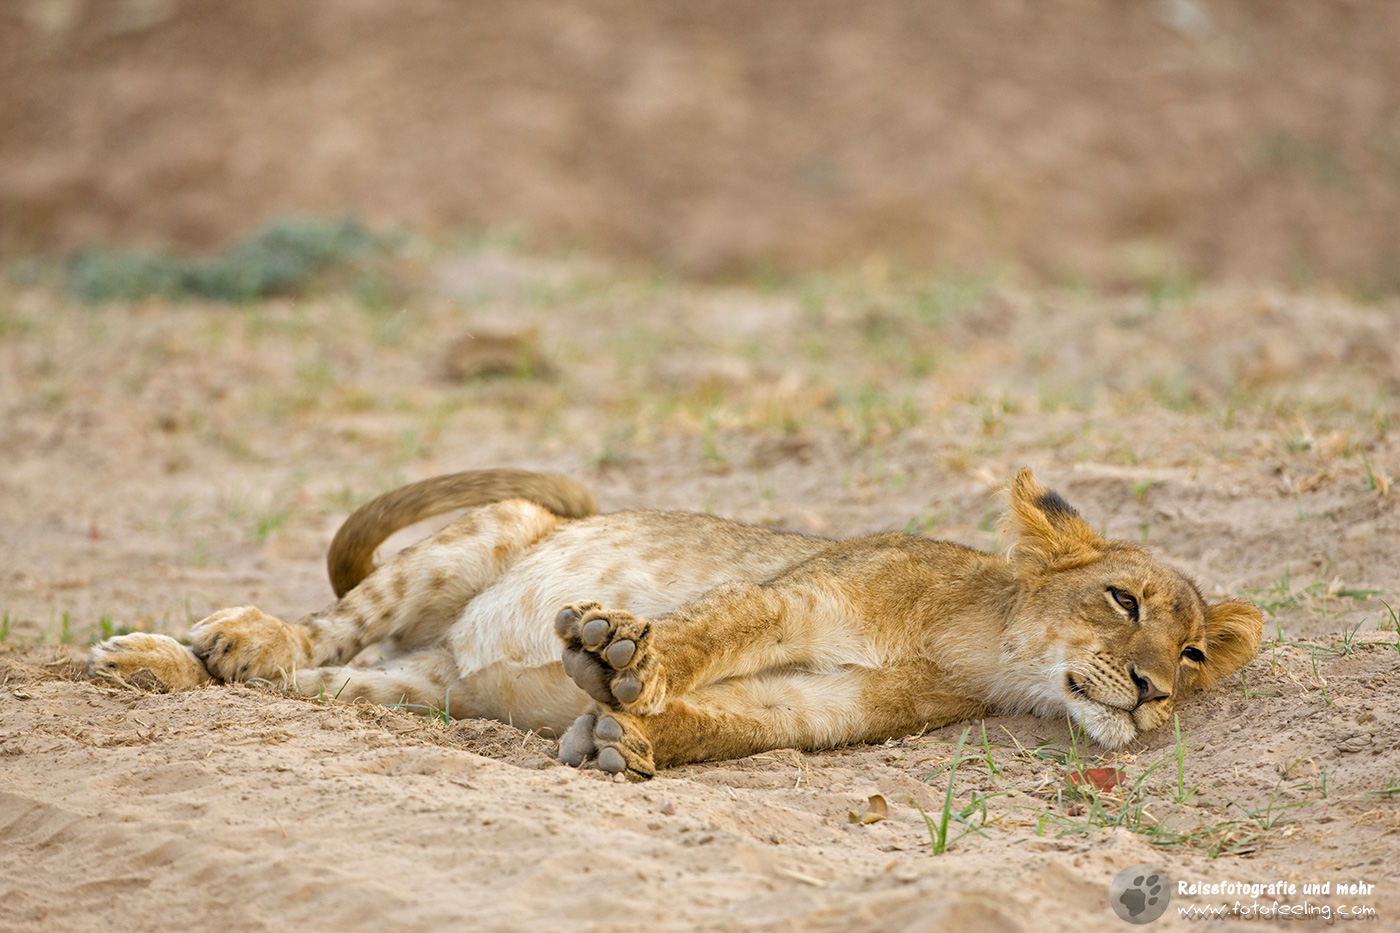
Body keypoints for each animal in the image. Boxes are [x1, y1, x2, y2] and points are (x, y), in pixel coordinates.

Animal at [87, 468, 1263, 780]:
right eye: (1122, 601)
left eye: (1195, 652)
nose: (1154, 692)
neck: (978, 641)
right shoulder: (803, 592)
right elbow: (707, 630)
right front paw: (623, 657)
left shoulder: (834, 708)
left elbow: (738, 724)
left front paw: (627, 735)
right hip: (491, 532)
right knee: (319, 635)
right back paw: (202, 643)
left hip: (426, 689)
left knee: (329, 686)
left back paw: (173, 667)